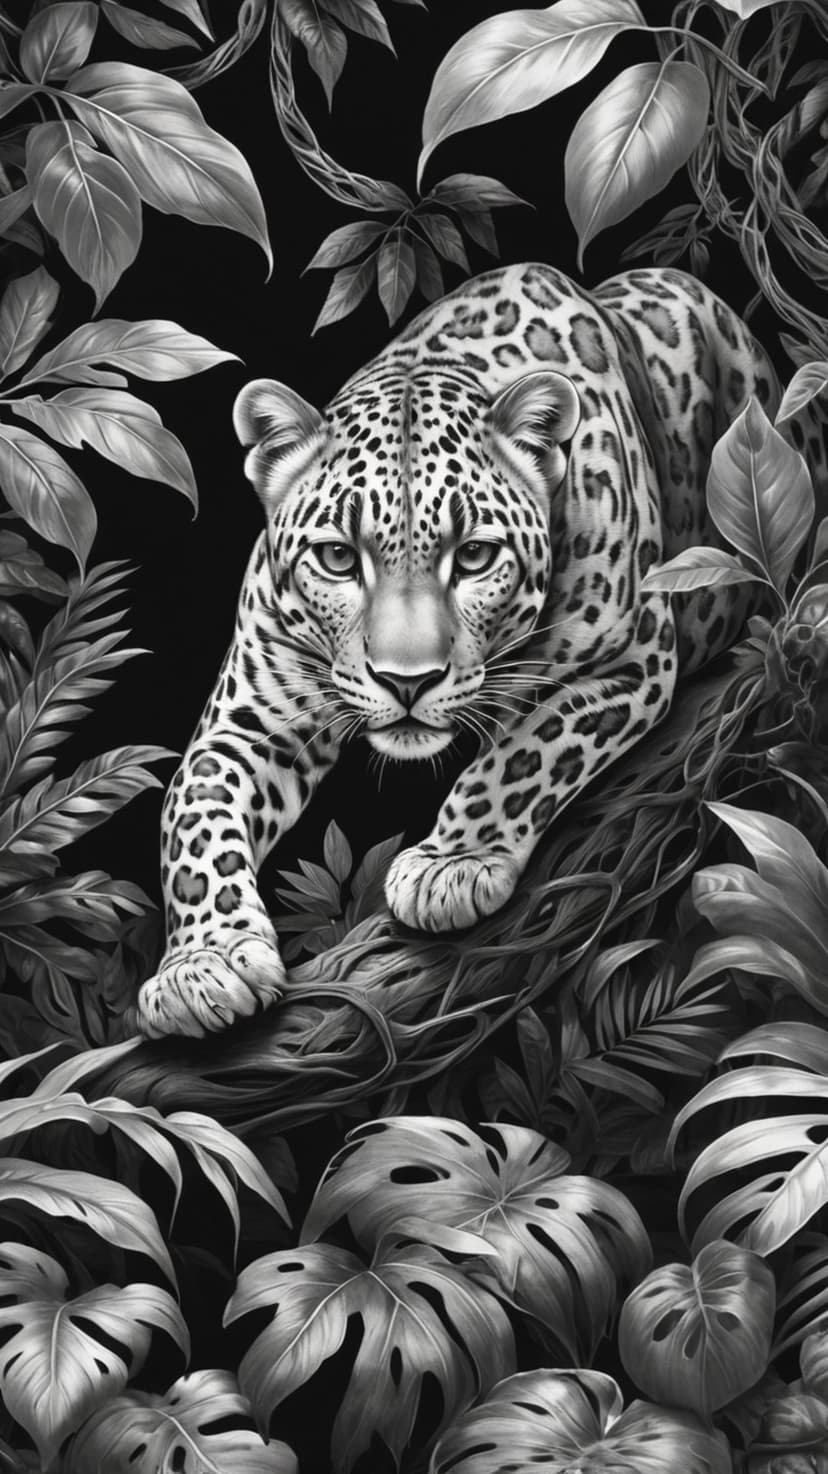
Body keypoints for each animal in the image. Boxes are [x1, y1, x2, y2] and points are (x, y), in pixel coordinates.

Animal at [136, 261, 787, 1039]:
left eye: (475, 556)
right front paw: (202, 963)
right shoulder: (249, 724)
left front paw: (454, 863)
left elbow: (528, 748)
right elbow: (192, 815)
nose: (406, 681)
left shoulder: (631, 658)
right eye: (337, 557)